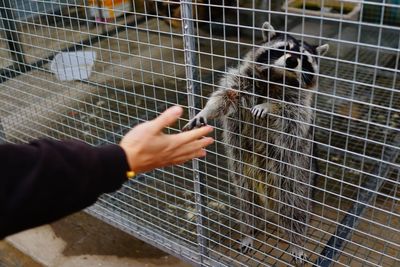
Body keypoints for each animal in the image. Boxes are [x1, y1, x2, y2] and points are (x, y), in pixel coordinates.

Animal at [183, 22, 330, 264]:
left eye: (304, 58)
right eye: (283, 49)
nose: (292, 61)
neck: (278, 79)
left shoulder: (301, 105)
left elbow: (293, 117)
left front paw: (270, 106)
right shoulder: (240, 80)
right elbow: (224, 97)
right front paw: (205, 111)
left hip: (297, 175)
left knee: (295, 208)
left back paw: (296, 242)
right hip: (243, 176)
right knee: (247, 204)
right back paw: (249, 231)